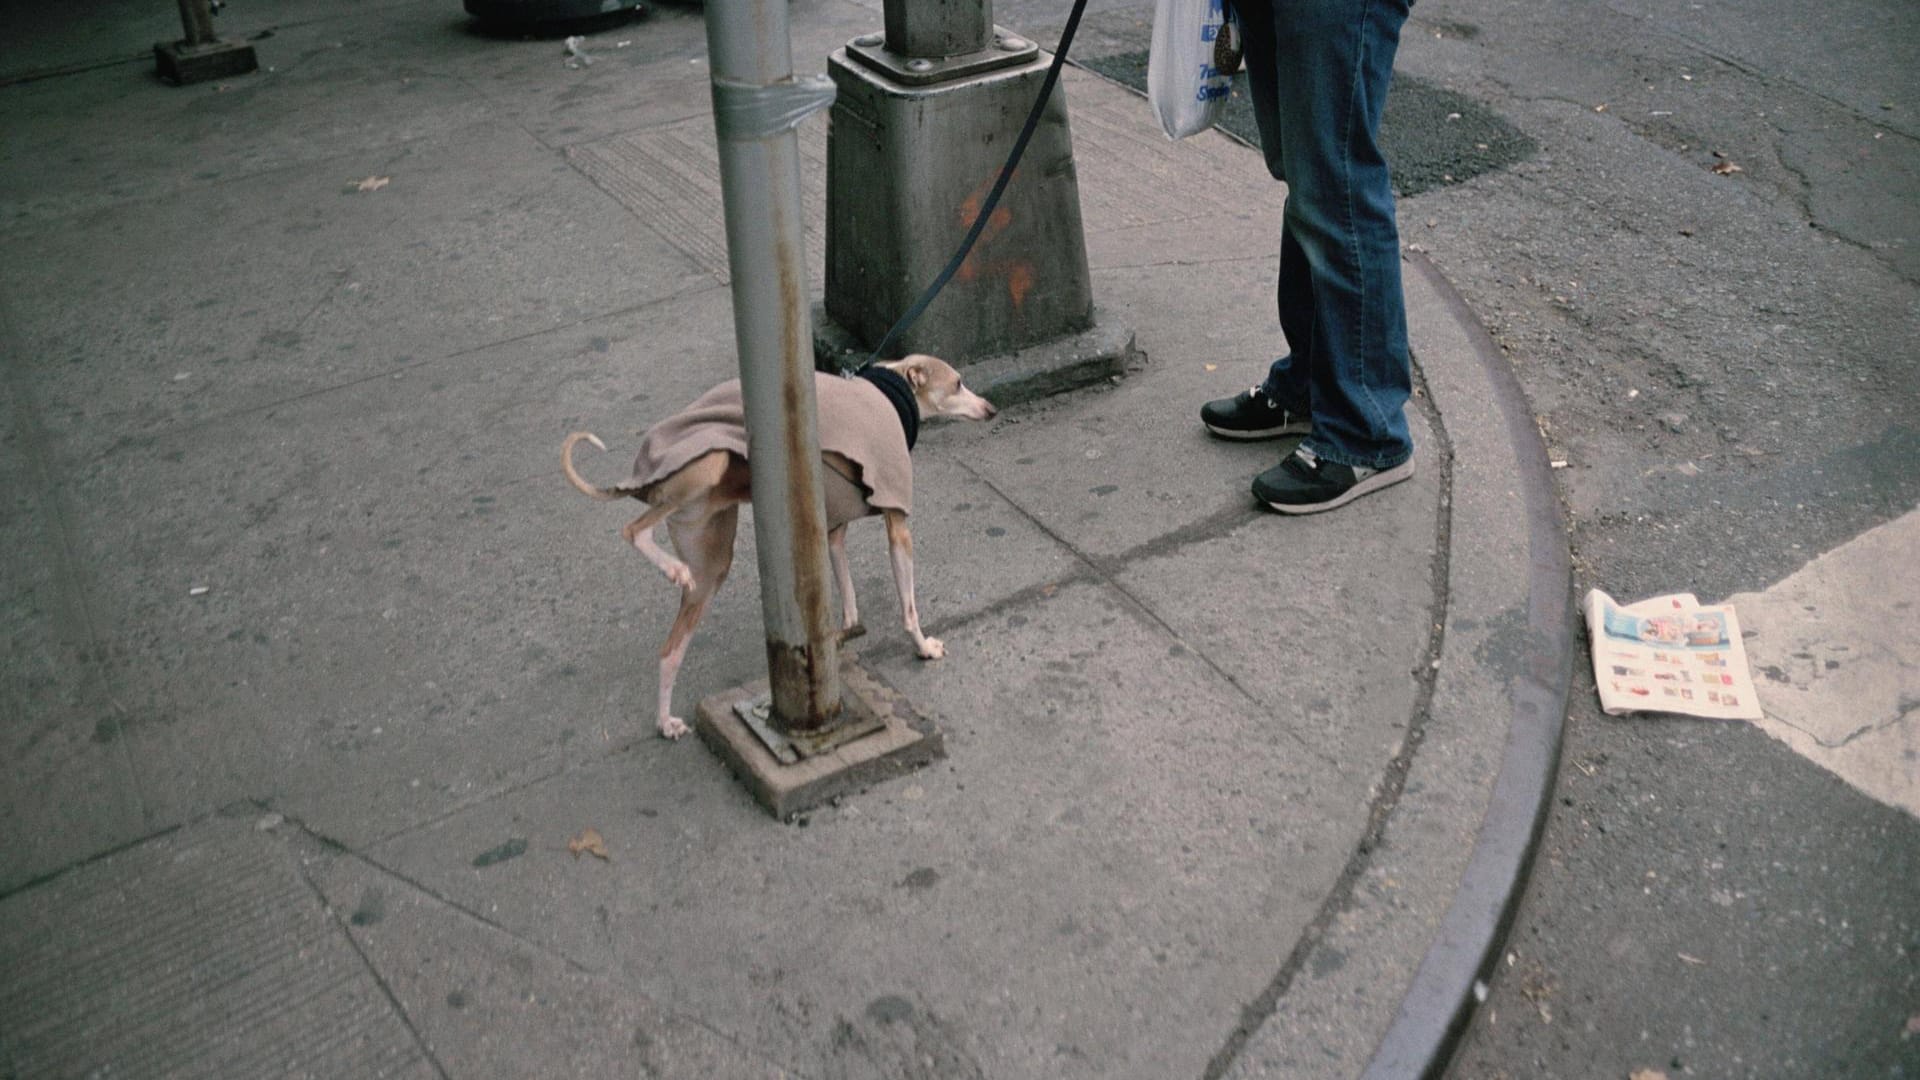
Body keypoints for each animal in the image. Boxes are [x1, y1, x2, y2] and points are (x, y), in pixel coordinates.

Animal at [560, 357, 998, 734]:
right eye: (958, 382)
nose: (991, 409)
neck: (891, 390)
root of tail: (643, 477)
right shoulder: (897, 524)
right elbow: (909, 608)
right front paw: (924, 647)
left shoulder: (832, 532)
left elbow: (847, 593)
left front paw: (845, 633)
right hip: (707, 467)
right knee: (633, 530)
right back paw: (670, 566)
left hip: (709, 562)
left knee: (669, 651)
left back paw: (665, 722)